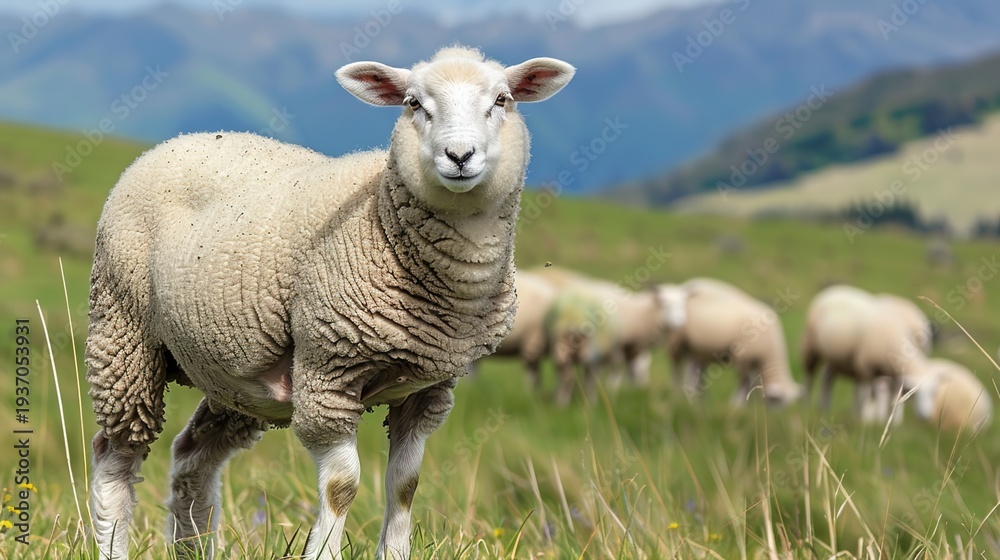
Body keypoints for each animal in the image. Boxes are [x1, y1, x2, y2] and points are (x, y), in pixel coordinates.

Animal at [85, 46, 574, 560]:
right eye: (413, 103)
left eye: (502, 100)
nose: (459, 156)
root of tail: (173, 142)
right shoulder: (328, 374)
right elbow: (342, 486)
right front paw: (323, 550)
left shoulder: (428, 390)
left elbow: (406, 486)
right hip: (123, 336)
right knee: (115, 458)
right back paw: (114, 539)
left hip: (234, 374)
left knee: (191, 458)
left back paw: (194, 545)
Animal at [666, 278, 802, 404]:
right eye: (777, 402)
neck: (770, 352)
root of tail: (687, 284)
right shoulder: (744, 360)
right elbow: (744, 383)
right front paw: (736, 405)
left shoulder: (754, 363)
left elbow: (752, 385)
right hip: (677, 341)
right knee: (676, 367)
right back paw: (676, 393)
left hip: (698, 350)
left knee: (694, 375)